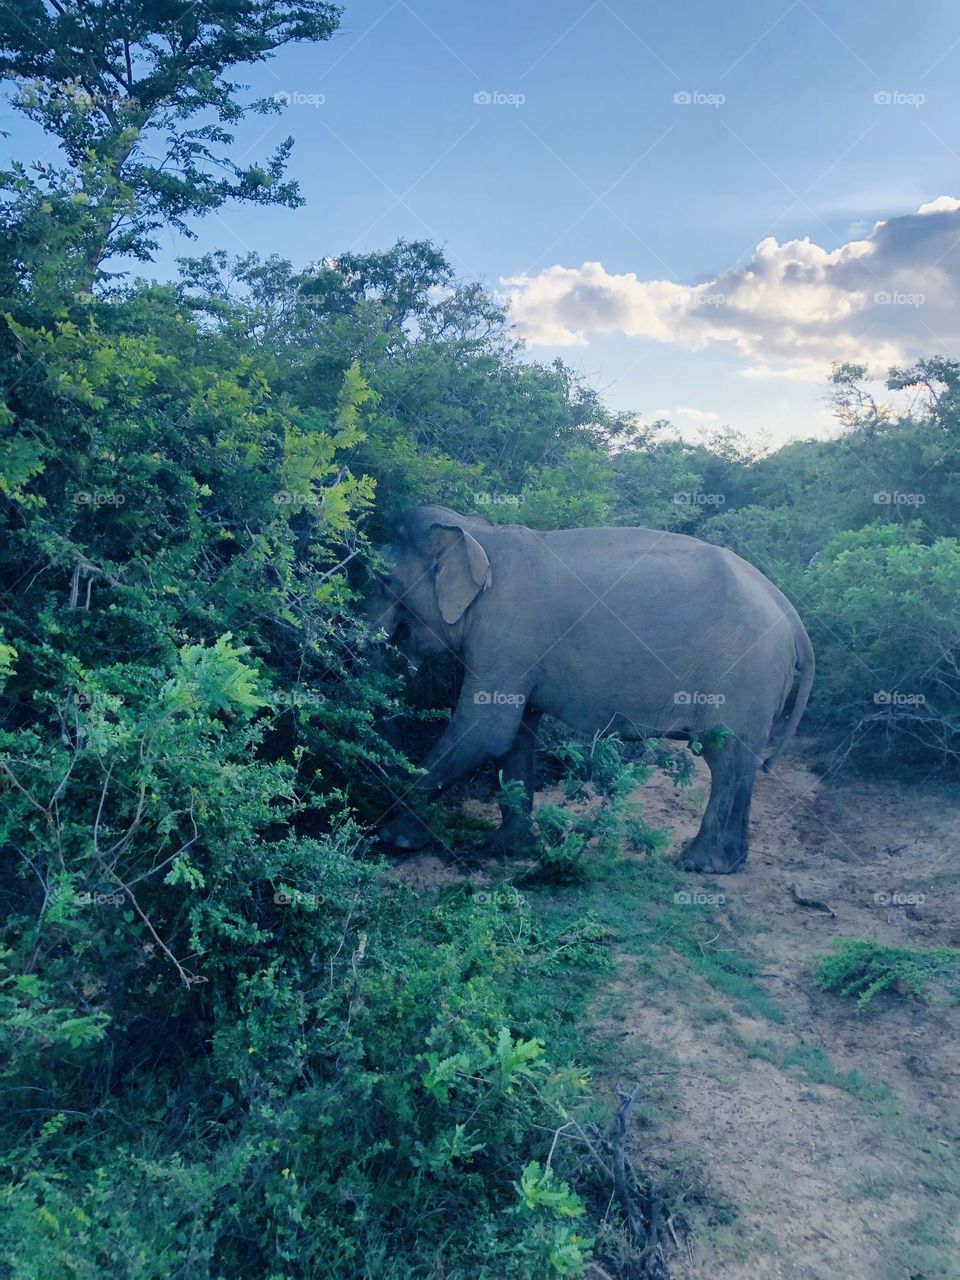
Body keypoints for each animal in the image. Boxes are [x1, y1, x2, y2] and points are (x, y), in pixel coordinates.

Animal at [364, 505, 814, 874]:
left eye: (383, 578)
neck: (479, 533)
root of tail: (792, 617)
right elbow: (516, 734)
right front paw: (507, 848)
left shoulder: (505, 632)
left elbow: (485, 730)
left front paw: (393, 838)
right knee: (742, 764)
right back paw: (729, 863)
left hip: (742, 677)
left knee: (725, 760)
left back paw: (698, 864)